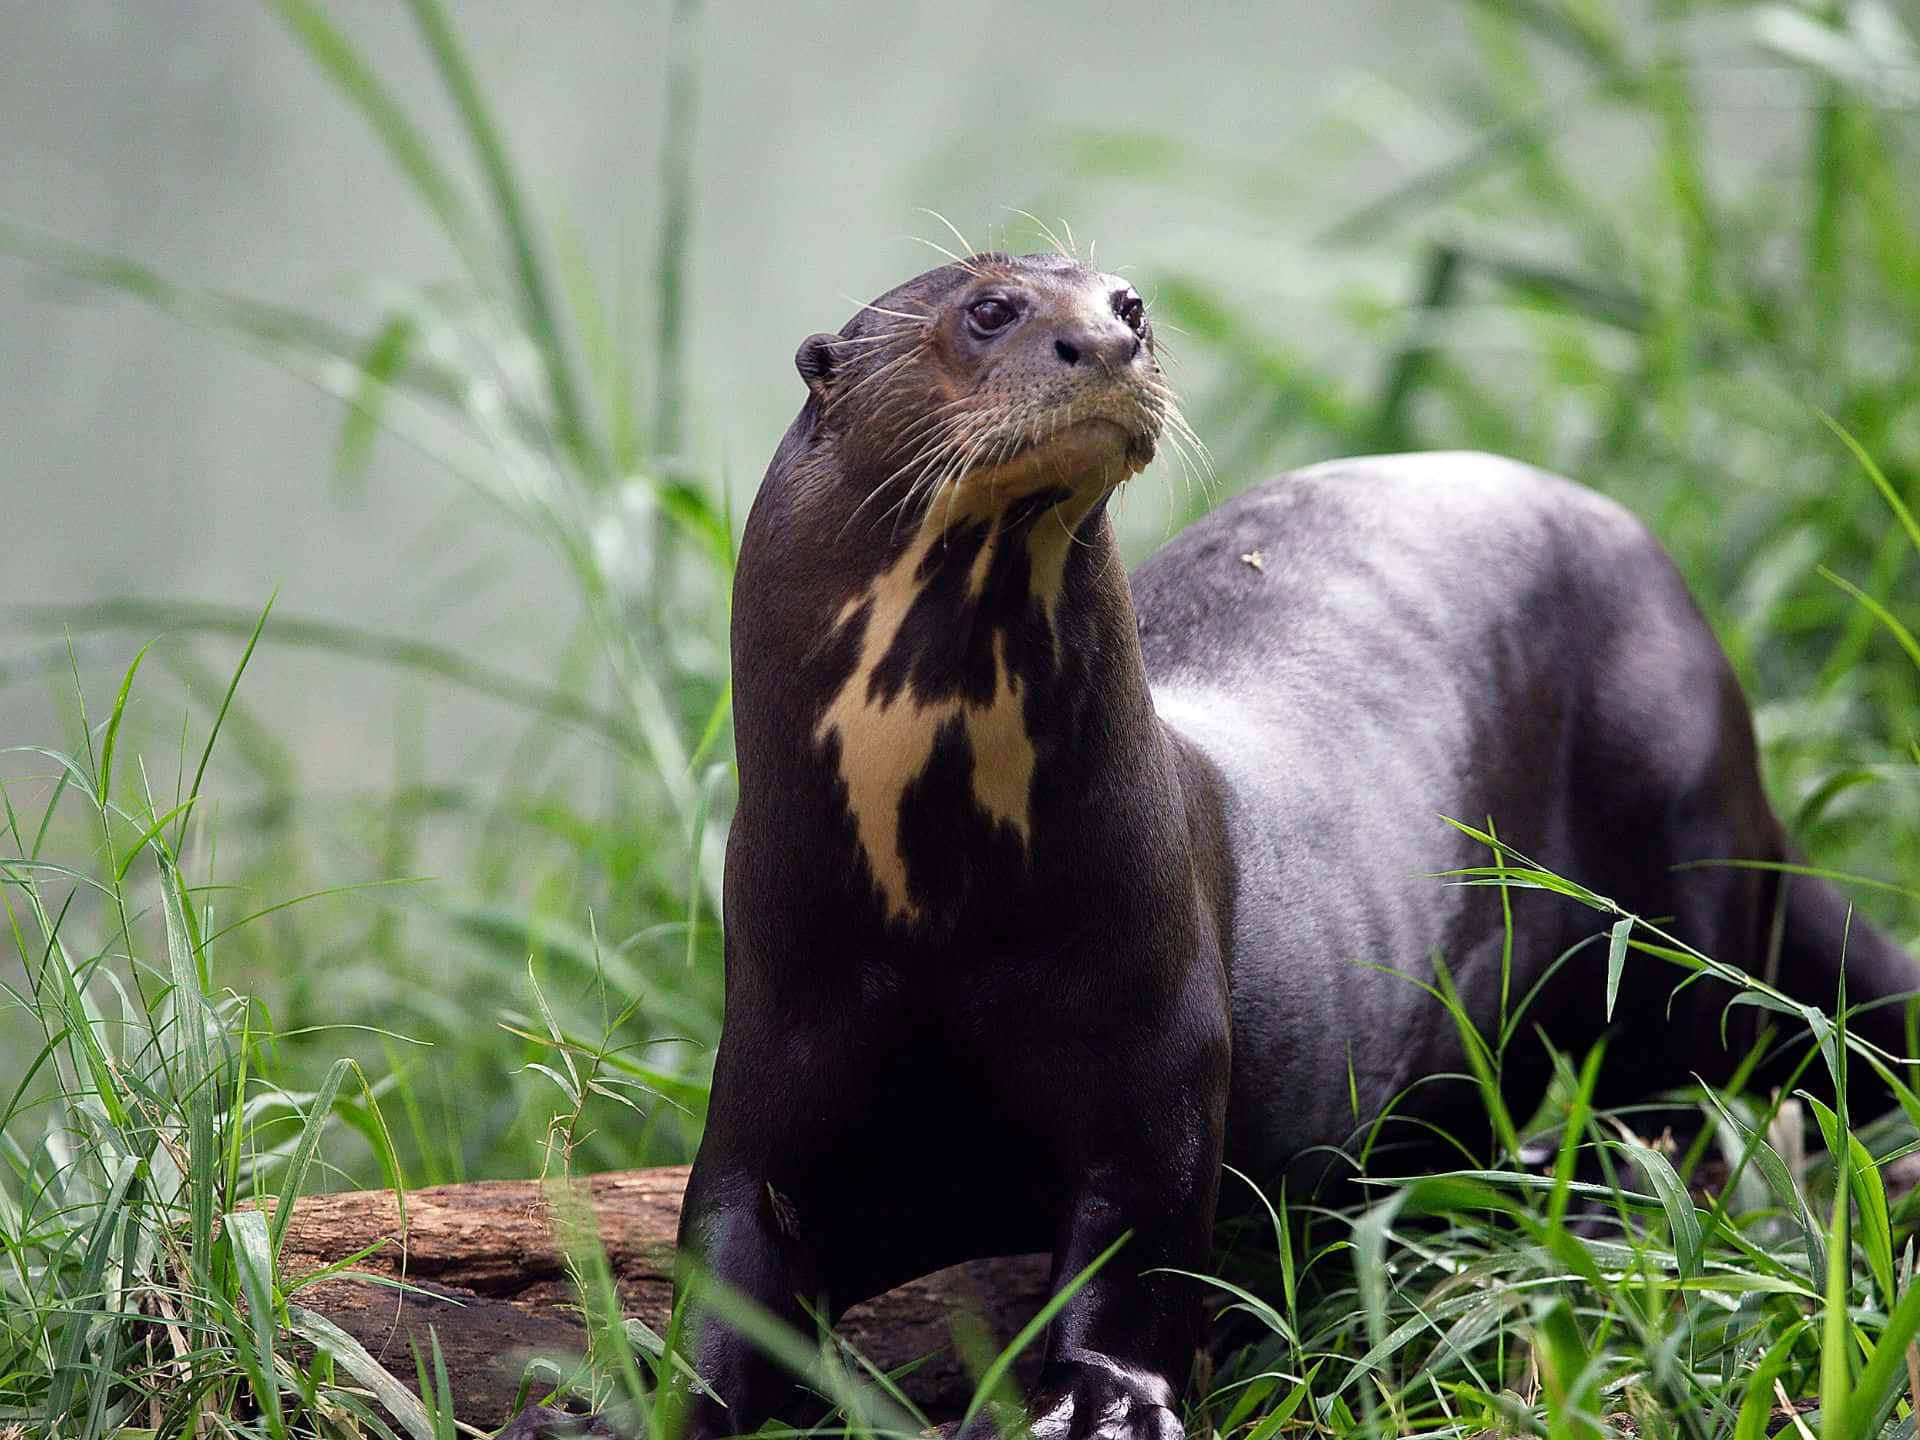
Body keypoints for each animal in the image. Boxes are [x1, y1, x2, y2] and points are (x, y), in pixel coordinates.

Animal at [671, 252, 1916, 1440]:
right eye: (990, 309)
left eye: (1128, 299)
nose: (1108, 339)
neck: (930, 915)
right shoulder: (773, 1038)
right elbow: (720, 1270)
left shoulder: (1159, 1055)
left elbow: (1137, 1260)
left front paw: (1095, 1407)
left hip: (1673, 827)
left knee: (1679, 1080)